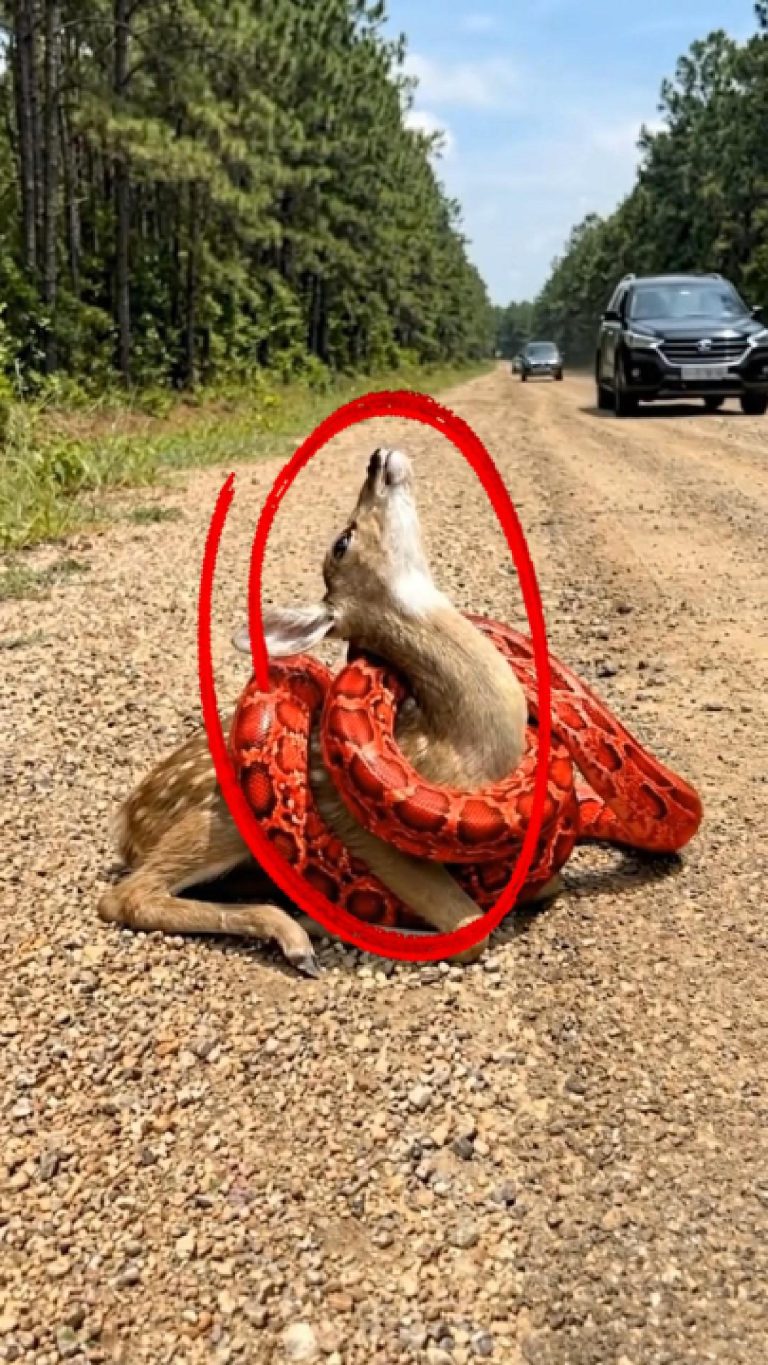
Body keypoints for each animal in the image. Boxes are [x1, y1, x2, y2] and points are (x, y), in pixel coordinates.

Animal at [99, 446, 556, 975]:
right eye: (342, 539)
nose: (377, 457)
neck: (464, 750)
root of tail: (125, 823)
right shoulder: (362, 830)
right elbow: (469, 931)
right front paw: (332, 922)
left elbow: (542, 888)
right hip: (221, 815)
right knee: (125, 896)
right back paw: (293, 935)